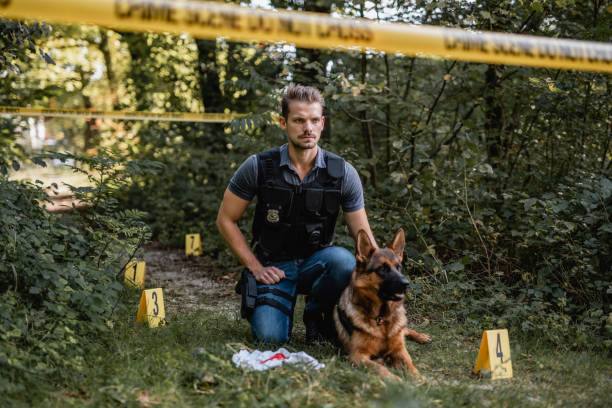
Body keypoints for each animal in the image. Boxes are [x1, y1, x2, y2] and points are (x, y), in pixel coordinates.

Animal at [334, 228, 430, 378]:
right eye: (383, 269)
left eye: (399, 267)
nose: (406, 284)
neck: (382, 318)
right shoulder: (357, 356)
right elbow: (381, 369)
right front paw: (396, 380)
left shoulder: (400, 351)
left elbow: (412, 368)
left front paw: (421, 380)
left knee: (405, 330)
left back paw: (421, 336)